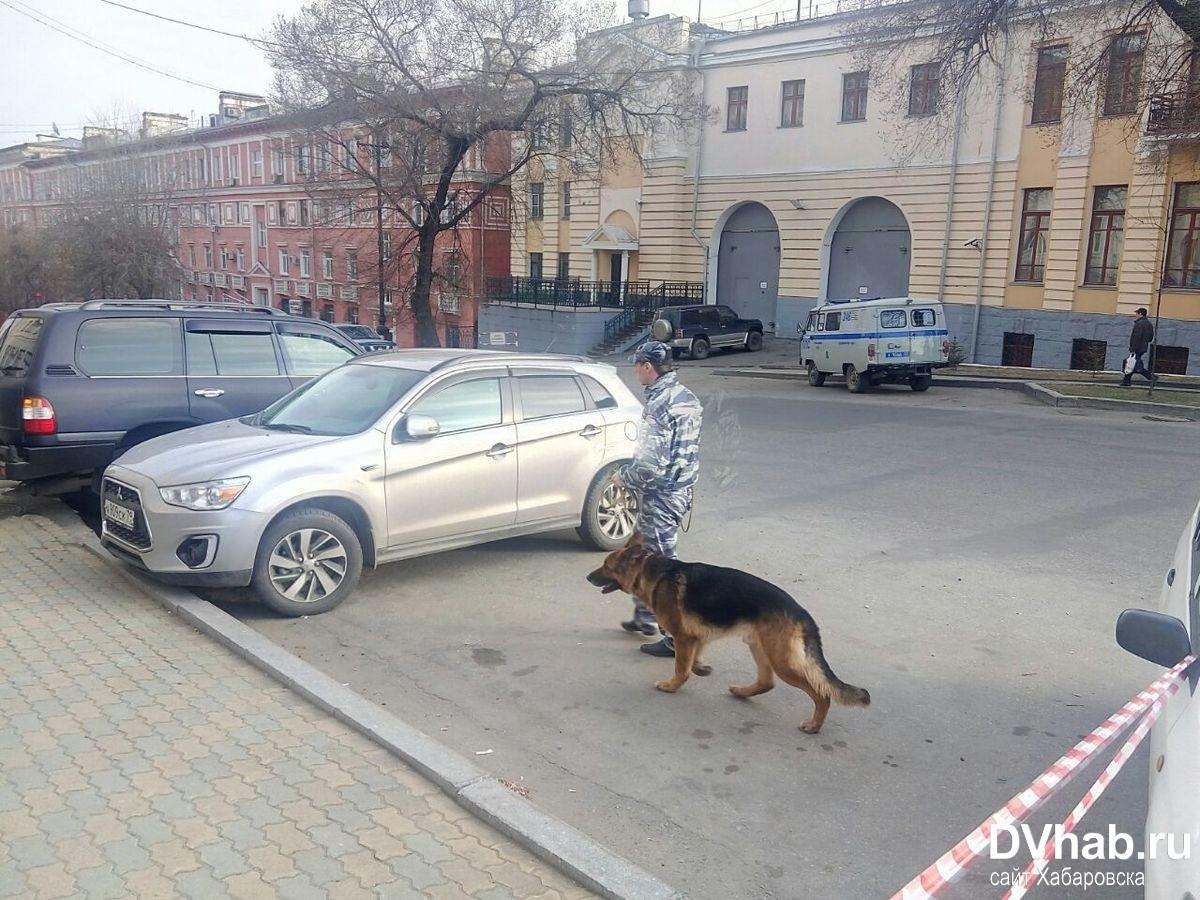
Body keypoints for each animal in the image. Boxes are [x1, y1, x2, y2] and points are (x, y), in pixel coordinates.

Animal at [585, 535, 868, 734]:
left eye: (606, 565)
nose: (587, 577)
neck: (651, 573)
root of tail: (801, 612)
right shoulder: (696, 637)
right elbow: (691, 662)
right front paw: (701, 669)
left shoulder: (683, 636)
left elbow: (680, 667)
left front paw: (671, 685)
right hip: (759, 647)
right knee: (767, 683)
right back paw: (742, 692)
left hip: (782, 661)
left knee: (821, 694)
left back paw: (814, 725)